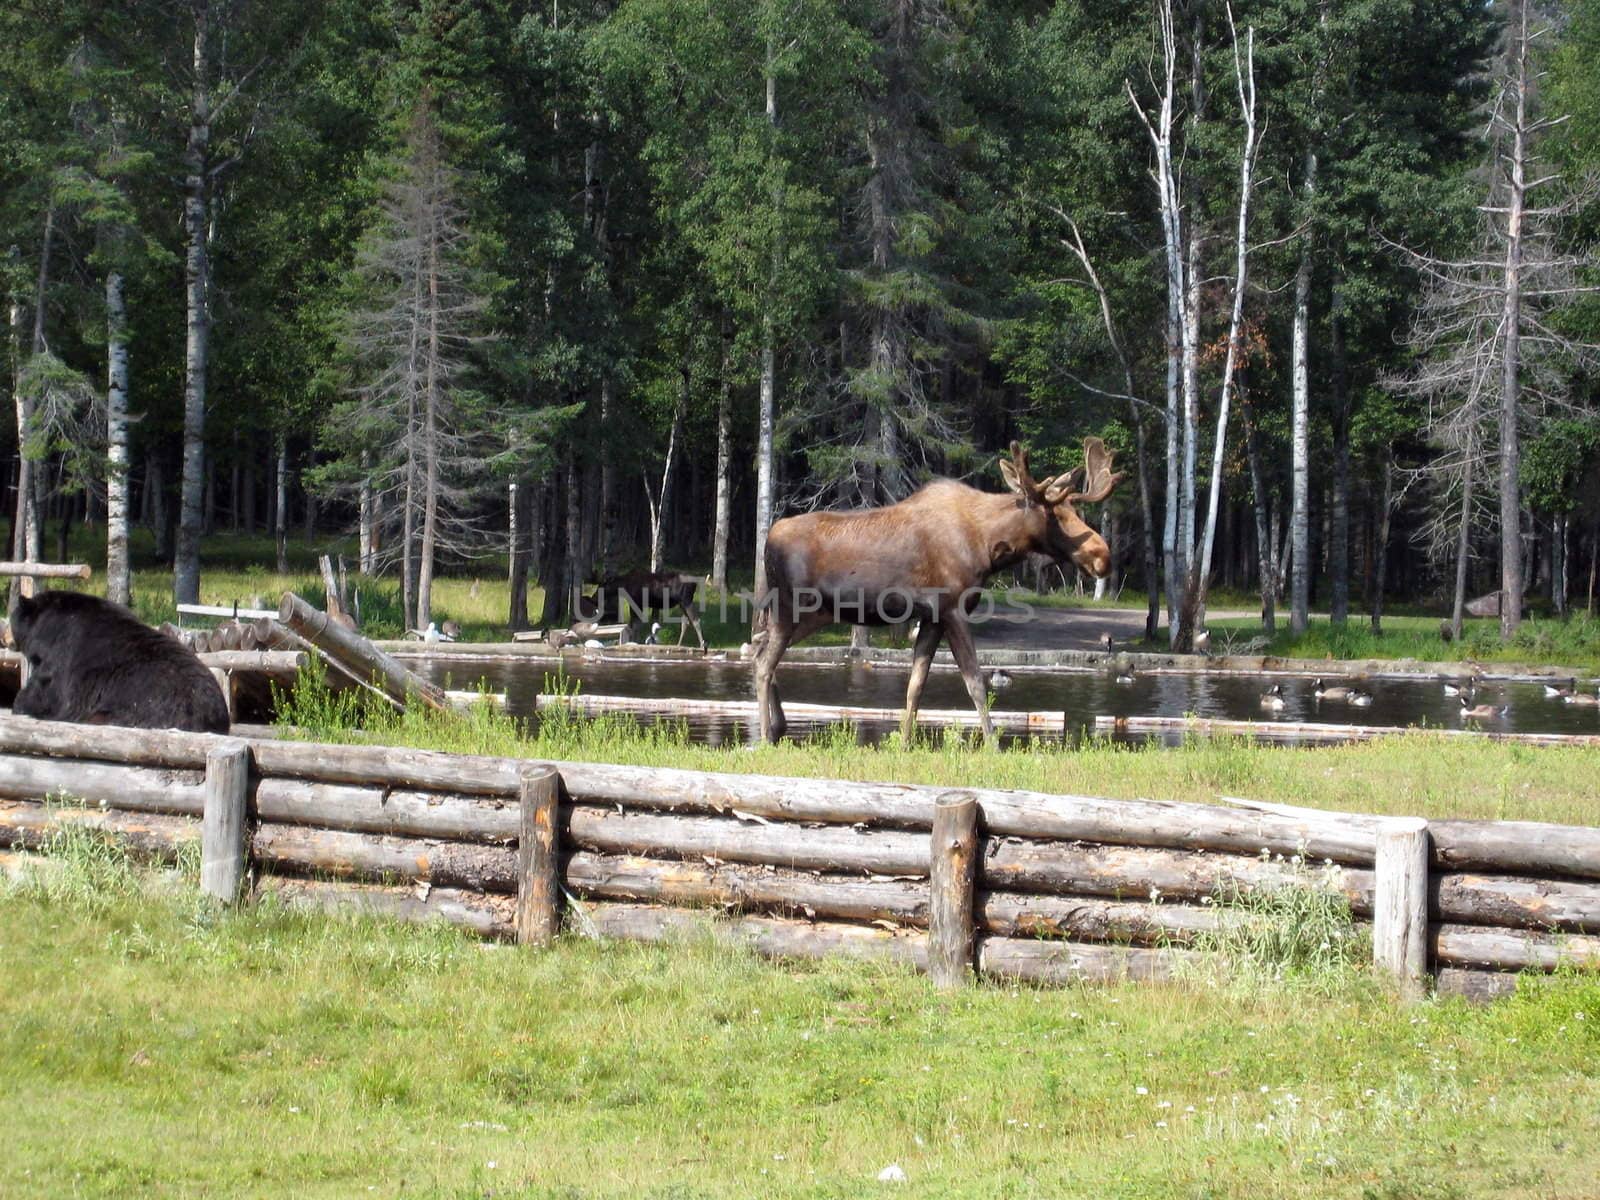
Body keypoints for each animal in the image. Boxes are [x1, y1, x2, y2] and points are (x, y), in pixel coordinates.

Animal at [752, 438, 1120, 748]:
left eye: (1076, 510)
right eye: (1054, 514)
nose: (1102, 555)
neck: (988, 544)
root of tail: (768, 542)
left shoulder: (931, 618)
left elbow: (916, 686)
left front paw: (904, 744)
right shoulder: (953, 609)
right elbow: (976, 682)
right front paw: (993, 745)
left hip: (814, 613)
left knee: (757, 647)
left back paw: (778, 726)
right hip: (789, 606)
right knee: (764, 662)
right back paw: (766, 736)